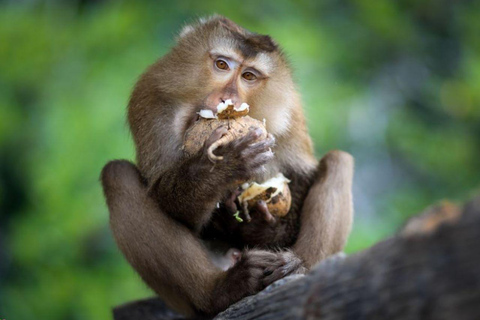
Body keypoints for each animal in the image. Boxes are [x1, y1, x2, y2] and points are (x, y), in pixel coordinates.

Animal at [101, 16, 354, 316]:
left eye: (249, 76)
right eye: (222, 65)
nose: (228, 101)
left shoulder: (290, 110)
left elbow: (301, 175)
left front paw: (263, 229)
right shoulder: (152, 97)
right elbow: (166, 196)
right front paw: (226, 166)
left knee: (339, 161)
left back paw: (298, 267)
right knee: (116, 175)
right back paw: (220, 291)